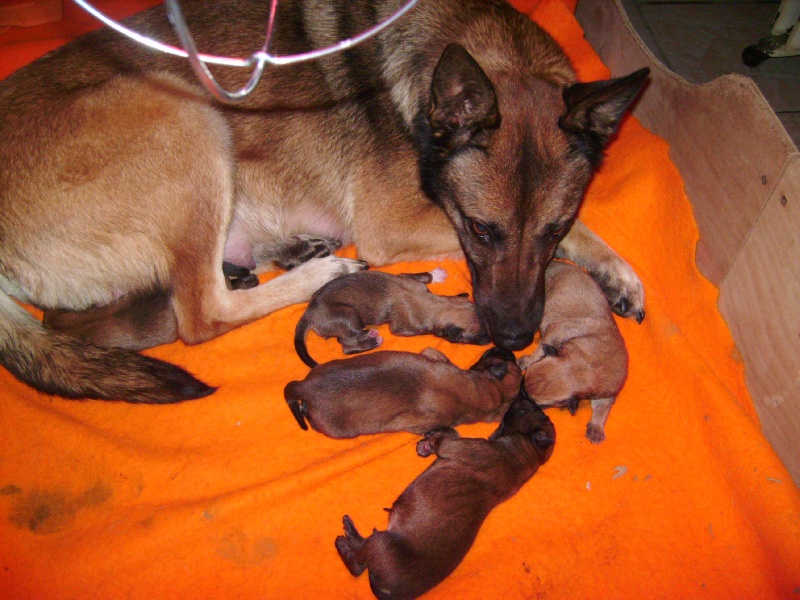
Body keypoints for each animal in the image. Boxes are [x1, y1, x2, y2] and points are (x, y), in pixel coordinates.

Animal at [292, 268, 488, 366]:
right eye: (479, 336)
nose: (491, 339)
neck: (437, 304)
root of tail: (309, 312)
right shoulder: (405, 327)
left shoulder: (411, 278)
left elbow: (423, 275)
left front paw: (437, 274)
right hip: (347, 315)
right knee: (346, 344)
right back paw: (371, 340)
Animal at [334, 394, 552, 600]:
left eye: (525, 409)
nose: (523, 396)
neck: (532, 454)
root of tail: (389, 593)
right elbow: (452, 434)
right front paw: (427, 444)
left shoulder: (458, 447)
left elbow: (448, 439)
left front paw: (433, 439)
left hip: (382, 543)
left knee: (358, 564)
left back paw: (347, 542)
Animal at [512, 260, 632, 442]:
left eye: (541, 405)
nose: (520, 395)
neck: (586, 366)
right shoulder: (554, 333)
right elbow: (539, 352)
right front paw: (527, 359)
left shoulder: (606, 393)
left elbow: (601, 410)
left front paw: (596, 428)